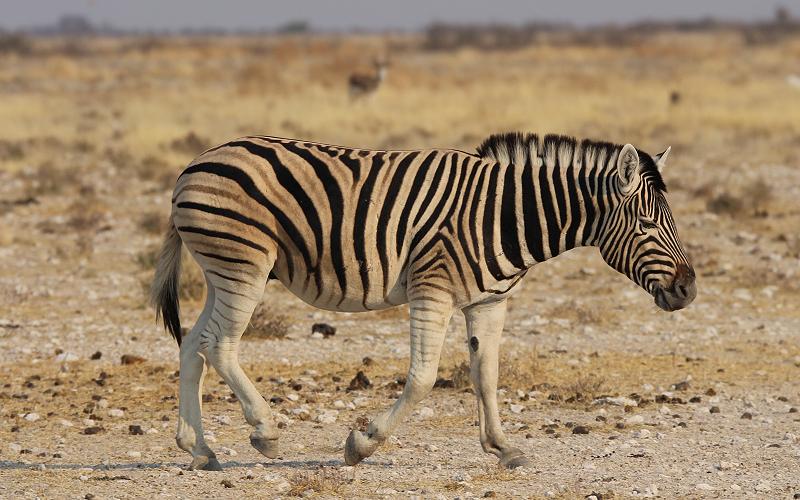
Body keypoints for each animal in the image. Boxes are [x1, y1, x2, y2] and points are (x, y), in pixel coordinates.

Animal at [150, 131, 692, 470]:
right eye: (649, 224)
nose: (689, 289)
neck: (505, 216)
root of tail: (193, 164)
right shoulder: (432, 288)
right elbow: (424, 377)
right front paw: (361, 444)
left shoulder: (489, 301)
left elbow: (486, 375)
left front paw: (503, 448)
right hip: (243, 263)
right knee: (219, 345)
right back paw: (265, 432)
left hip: (223, 270)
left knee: (192, 344)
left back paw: (198, 450)